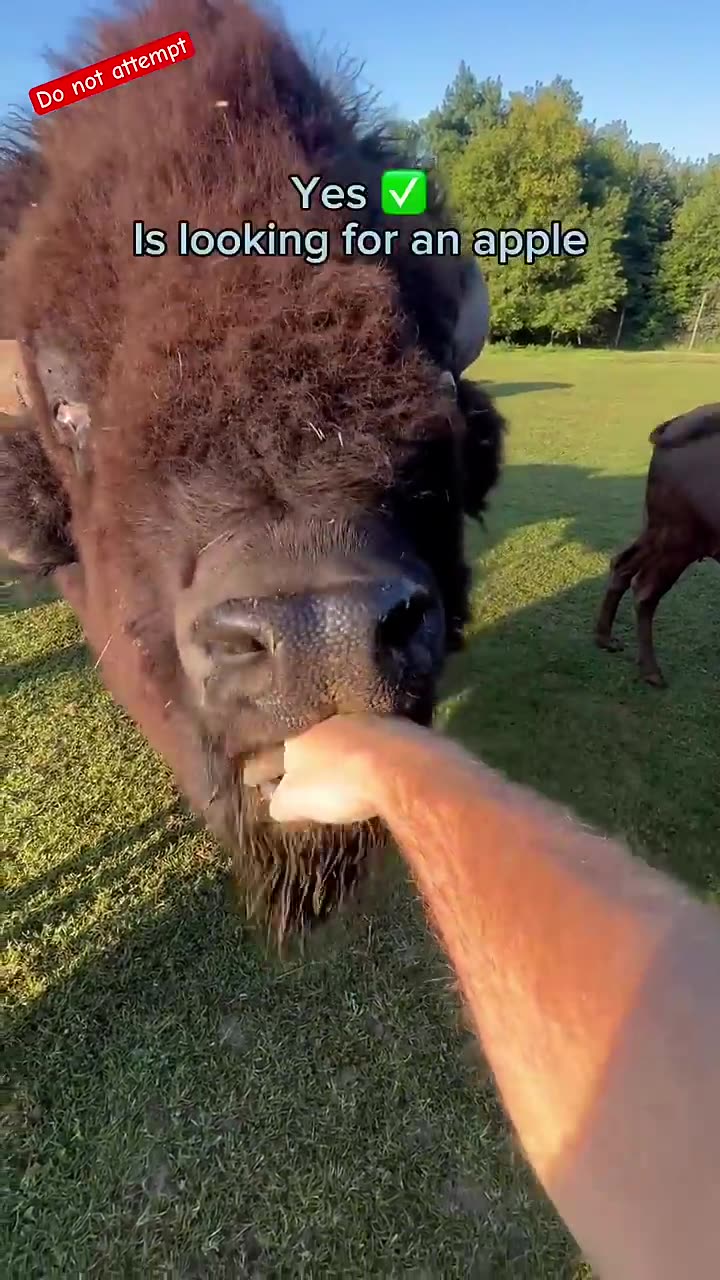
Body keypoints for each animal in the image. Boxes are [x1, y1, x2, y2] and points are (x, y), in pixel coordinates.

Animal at [594, 404, 717, 691]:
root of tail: (671, 427)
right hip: (678, 542)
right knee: (645, 591)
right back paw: (651, 671)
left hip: (656, 532)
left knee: (622, 565)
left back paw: (605, 638)